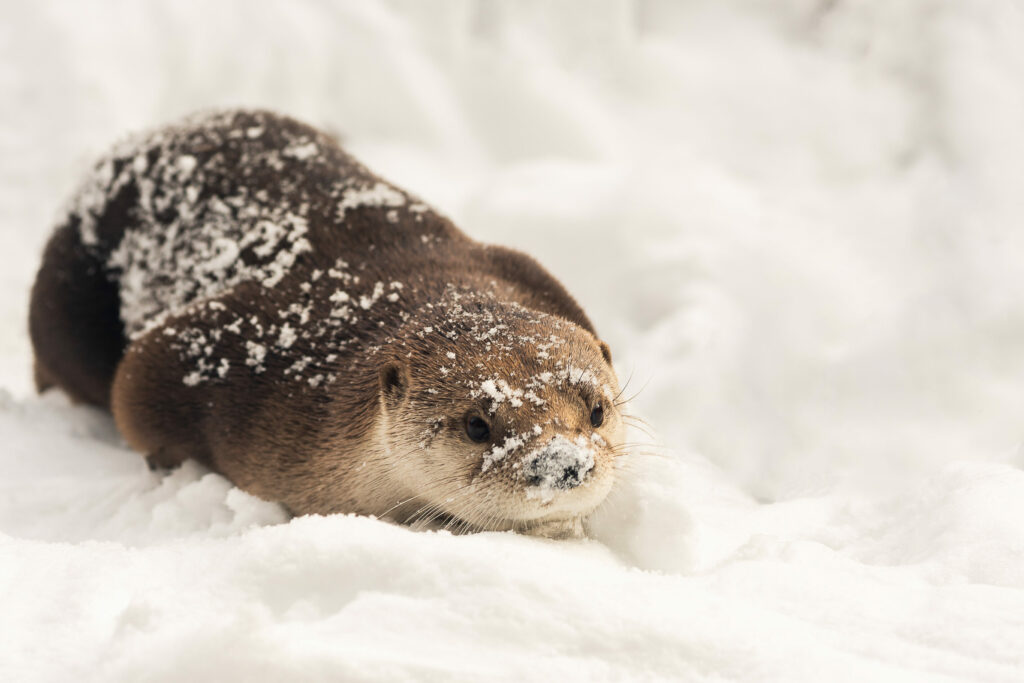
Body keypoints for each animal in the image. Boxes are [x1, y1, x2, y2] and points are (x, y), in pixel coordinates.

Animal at [28, 109, 622, 540]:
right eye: (478, 425)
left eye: (597, 411)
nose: (562, 463)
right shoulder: (213, 352)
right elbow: (134, 389)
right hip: (63, 303)